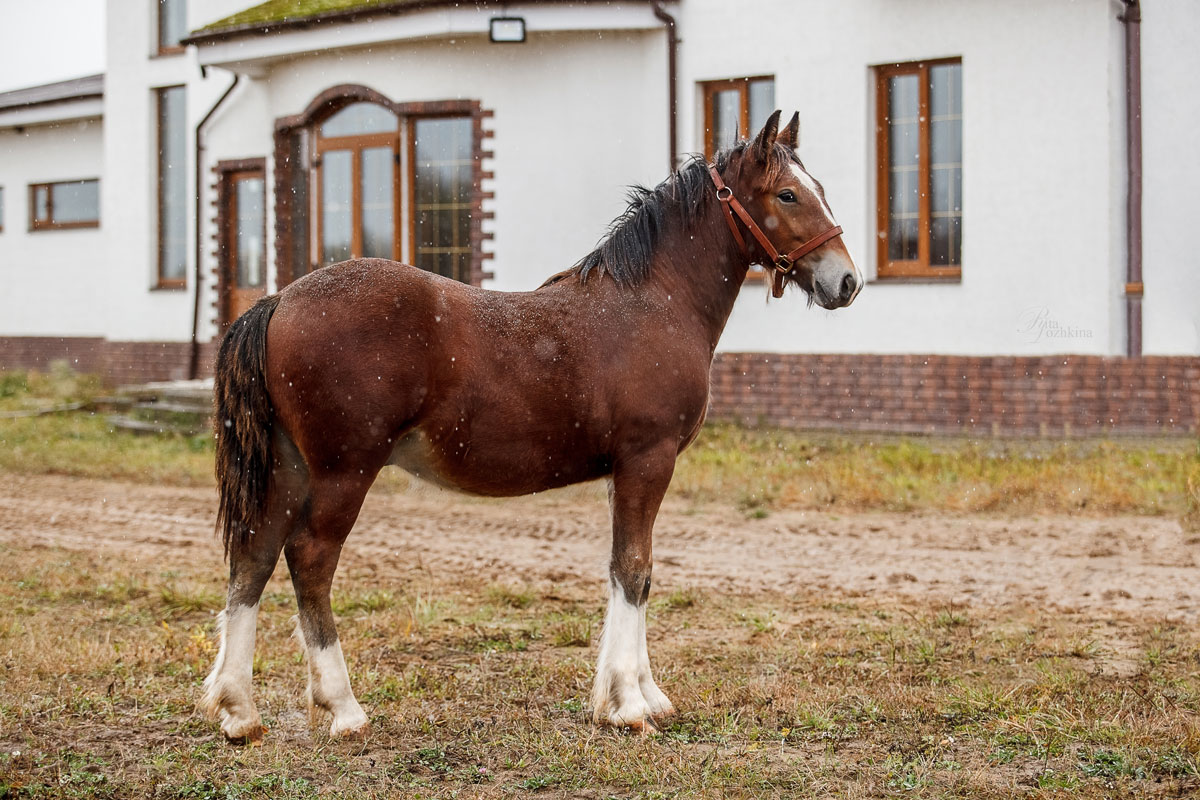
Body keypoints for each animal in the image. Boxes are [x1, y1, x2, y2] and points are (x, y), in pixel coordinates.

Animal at [204, 109, 864, 743]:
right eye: (786, 194)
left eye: (819, 188)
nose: (847, 281)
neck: (656, 300)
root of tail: (279, 301)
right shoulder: (648, 460)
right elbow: (634, 571)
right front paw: (629, 706)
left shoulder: (624, 471)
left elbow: (631, 572)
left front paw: (639, 696)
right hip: (344, 471)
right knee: (310, 558)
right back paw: (342, 708)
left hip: (287, 468)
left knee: (253, 557)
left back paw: (239, 712)